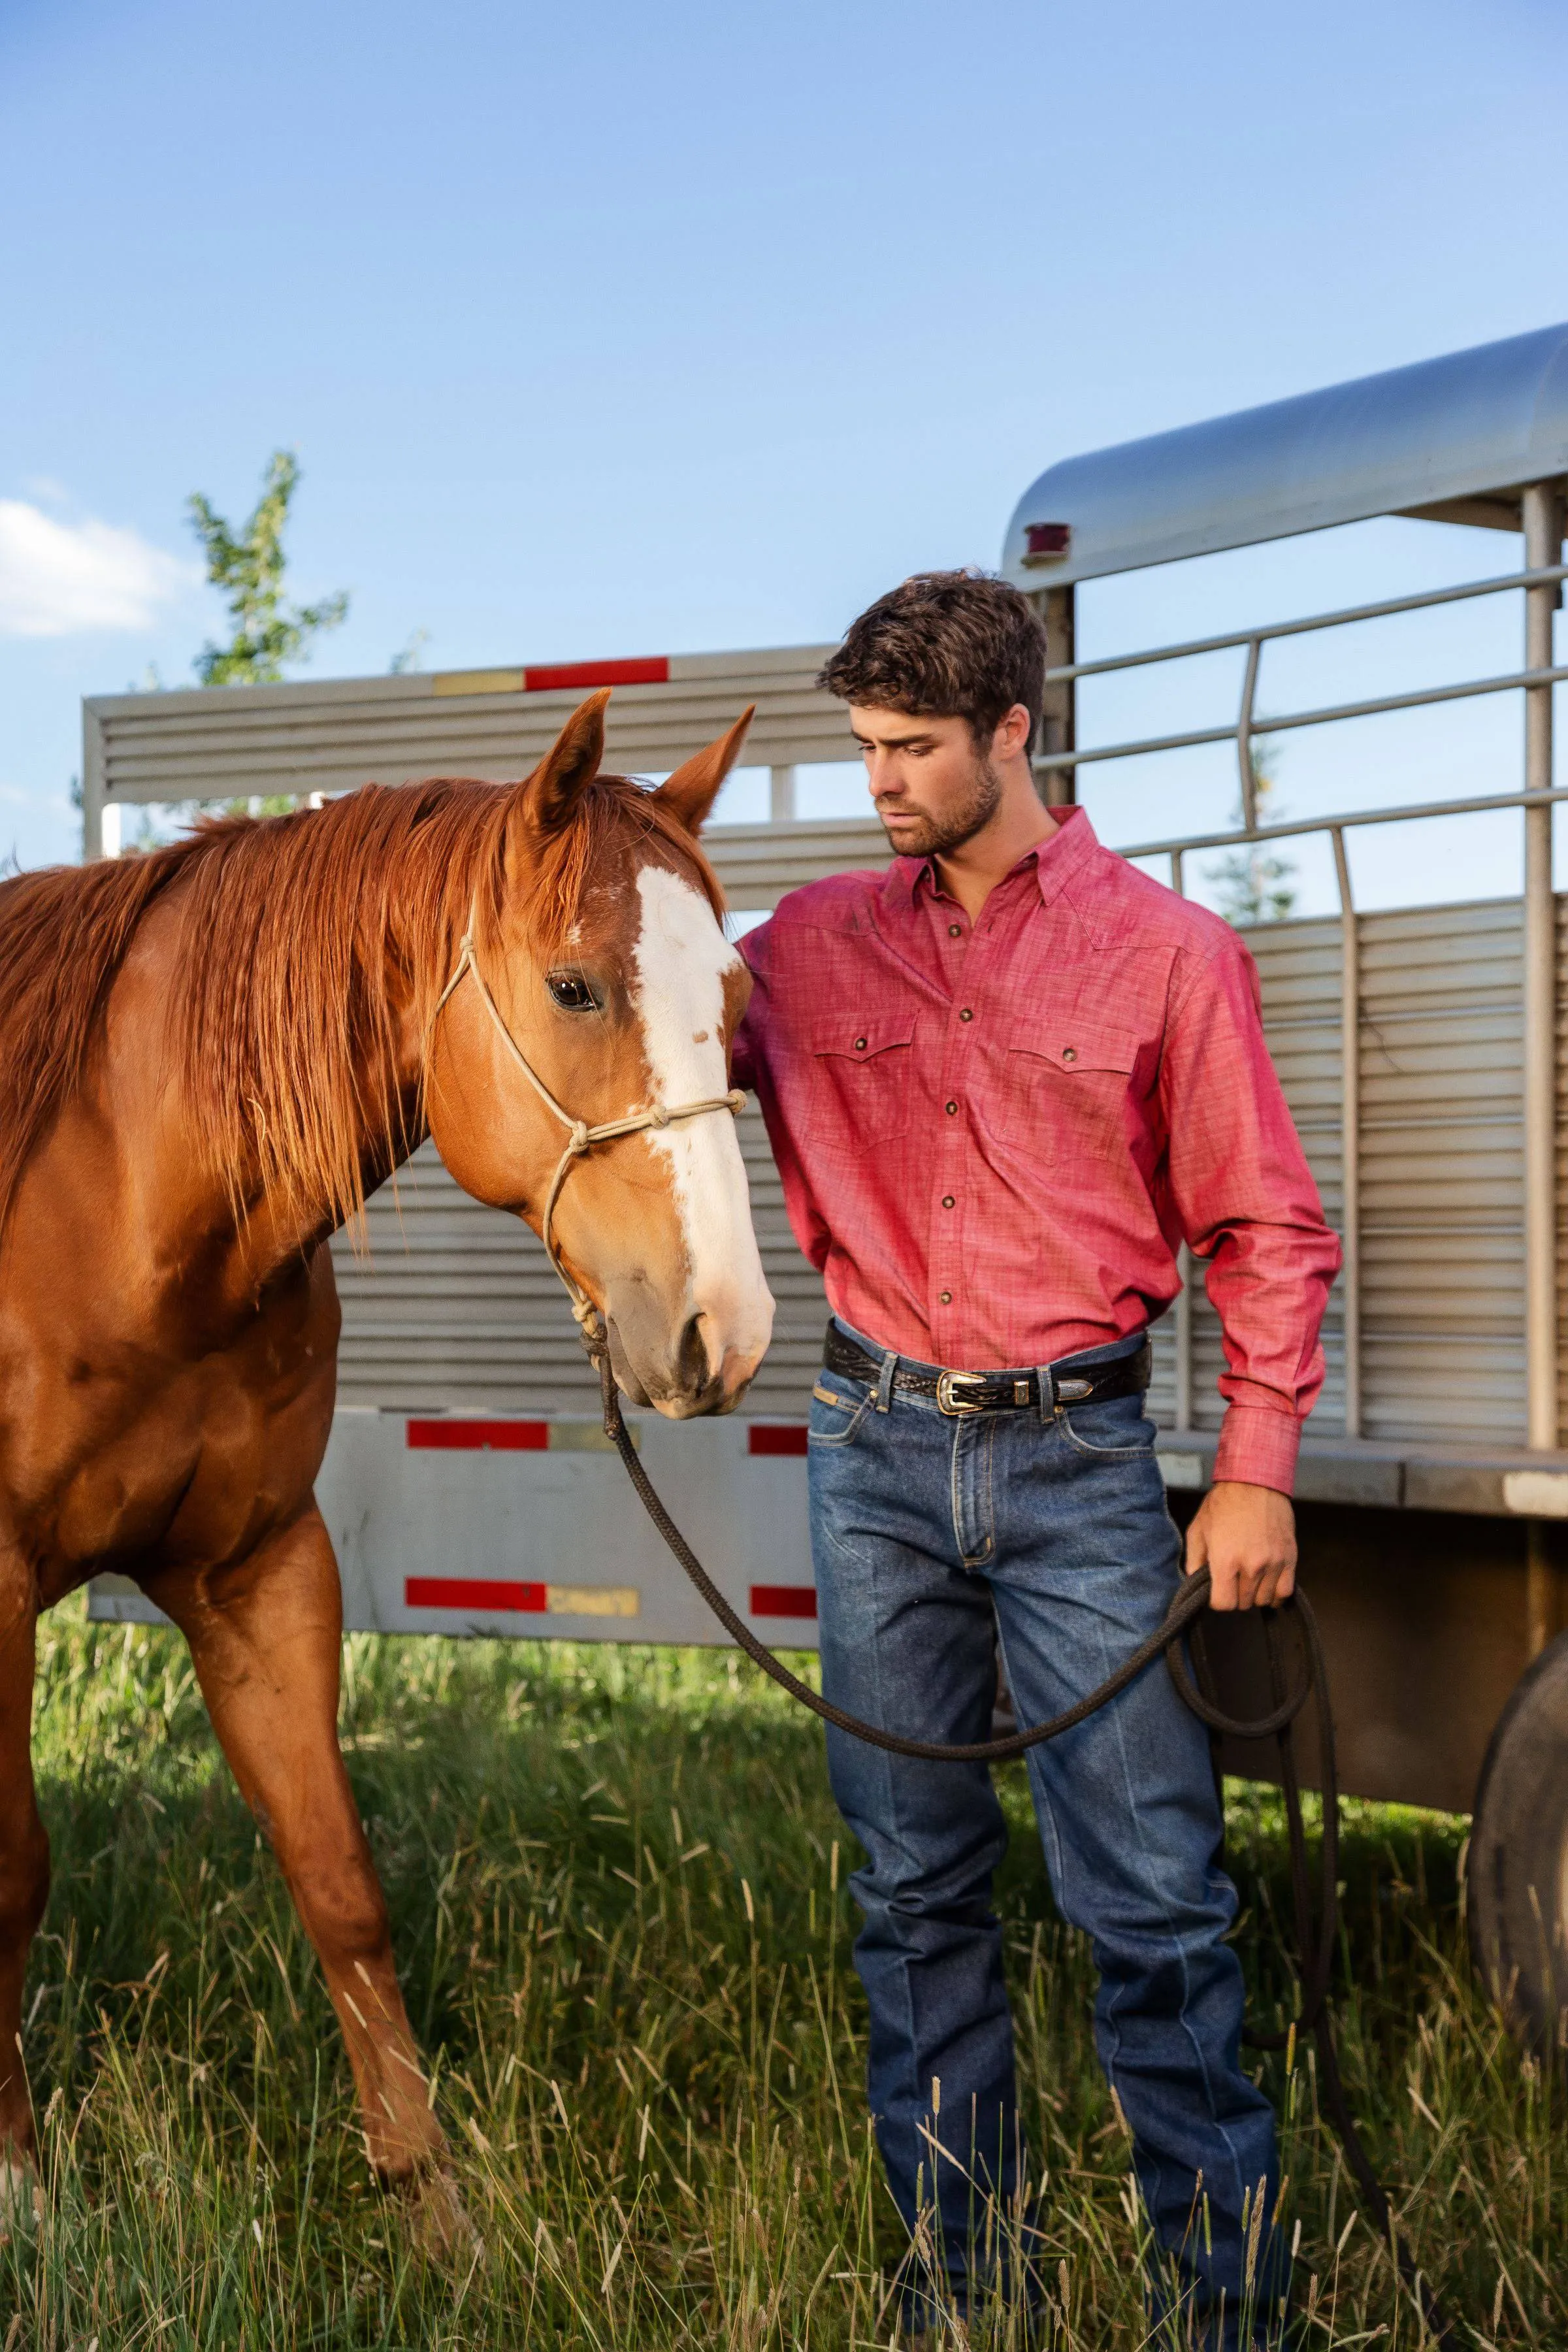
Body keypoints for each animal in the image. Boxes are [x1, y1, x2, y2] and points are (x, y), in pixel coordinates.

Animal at [0, 687, 776, 2239]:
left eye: (731, 1006)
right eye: (577, 989)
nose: (728, 1330)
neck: (112, 1204)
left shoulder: (257, 1568)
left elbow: (340, 1879)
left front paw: (435, 2211)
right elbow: (7, 1880)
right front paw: (21, 2188)